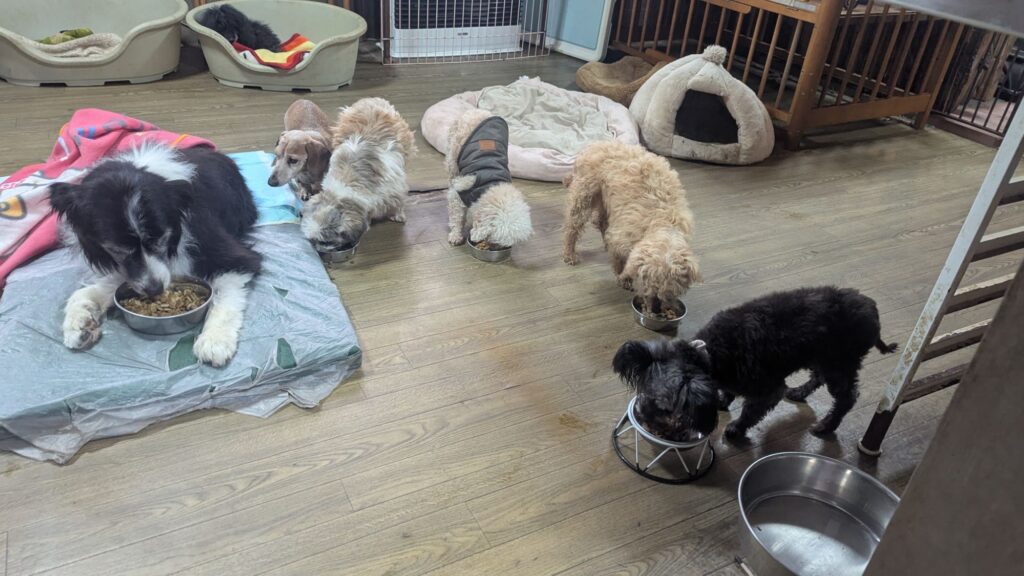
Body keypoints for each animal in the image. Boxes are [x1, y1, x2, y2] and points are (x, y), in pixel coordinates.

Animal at [49, 144, 262, 367]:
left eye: (161, 238)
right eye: (116, 249)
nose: (155, 290)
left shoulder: (228, 253)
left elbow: (226, 291)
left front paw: (215, 340)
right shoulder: (129, 270)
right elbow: (93, 291)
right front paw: (79, 322)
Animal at [302, 98, 415, 250]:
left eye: (326, 242)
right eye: (312, 241)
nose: (318, 250)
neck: (348, 182)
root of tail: (370, 100)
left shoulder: (395, 188)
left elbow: (398, 202)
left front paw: (398, 215)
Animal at [445, 109, 532, 248]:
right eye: (492, 238)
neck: (491, 185)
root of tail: (476, 110)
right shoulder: (458, 193)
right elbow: (456, 216)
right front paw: (456, 235)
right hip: (452, 158)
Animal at [563, 141, 700, 314]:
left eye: (669, 293)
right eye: (647, 285)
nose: (656, 308)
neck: (662, 223)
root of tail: (597, 143)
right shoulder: (621, 236)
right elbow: (620, 260)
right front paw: (624, 278)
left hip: (605, 199)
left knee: (599, 221)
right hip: (584, 195)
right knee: (572, 227)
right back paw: (570, 254)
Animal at [613, 286, 898, 442]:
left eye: (664, 407)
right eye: (644, 391)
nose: (638, 415)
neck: (710, 352)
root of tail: (874, 312)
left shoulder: (768, 391)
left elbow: (750, 413)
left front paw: (735, 429)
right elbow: (727, 392)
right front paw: (722, 400)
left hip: (840, 364)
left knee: (847, 398)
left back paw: (826, 426)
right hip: (823, 358)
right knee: (817, 377)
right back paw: (799, 392)